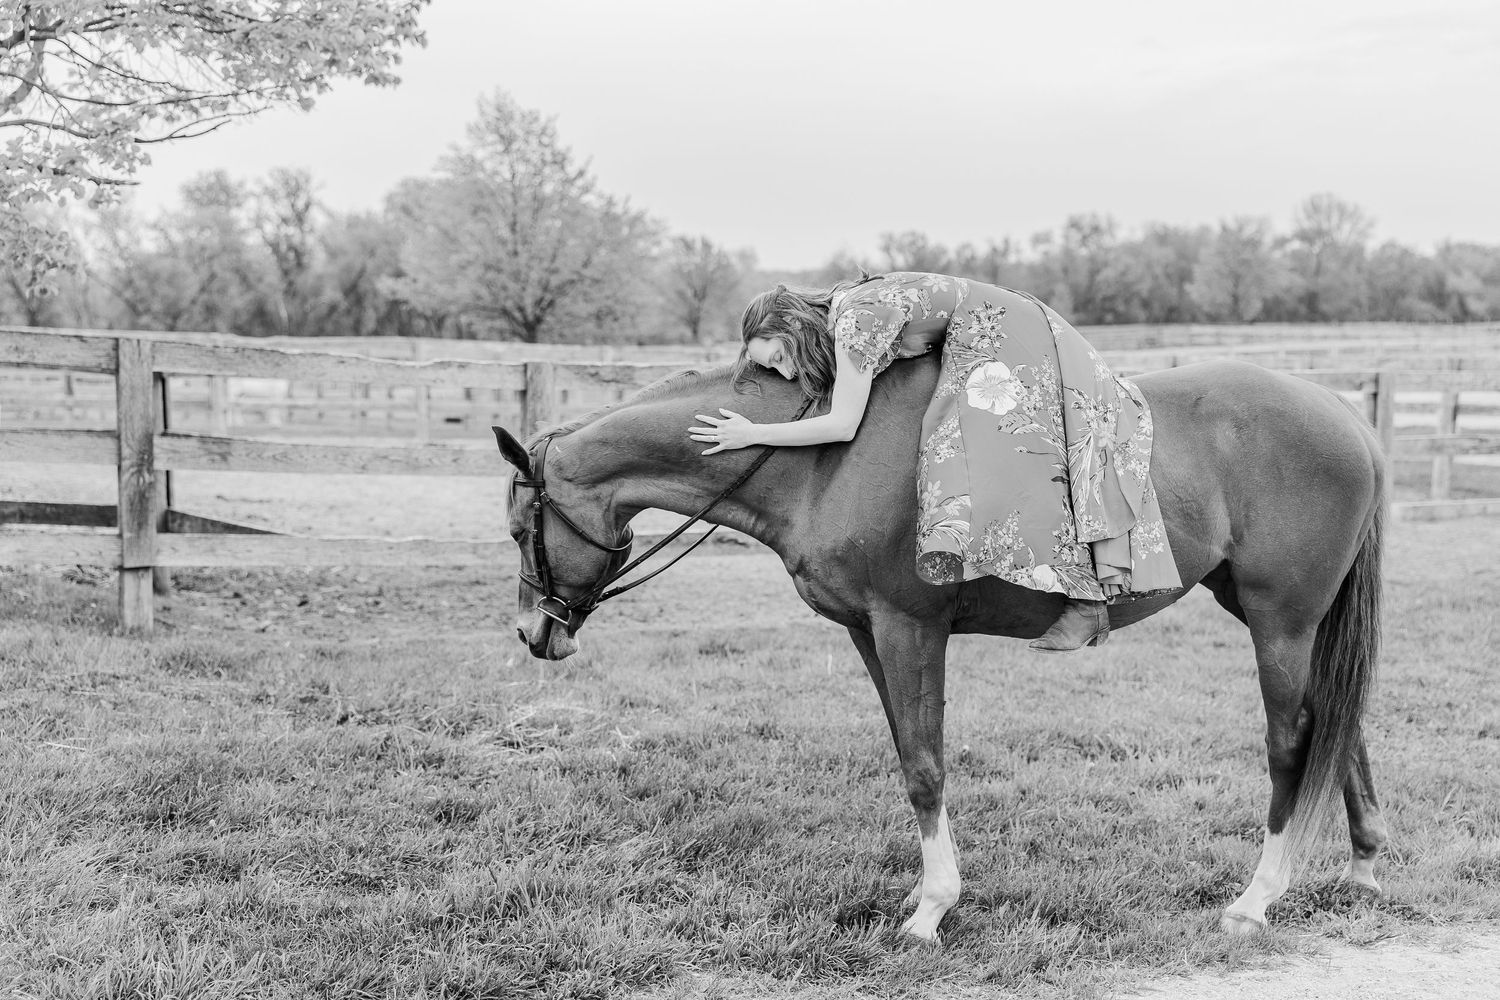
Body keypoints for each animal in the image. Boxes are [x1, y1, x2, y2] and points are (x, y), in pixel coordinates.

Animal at [491, 354, 1387, 943]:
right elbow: (907, 752)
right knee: (1342, 732)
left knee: (1294, 743)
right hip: (1280, 620)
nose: (534, 632)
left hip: (1281, 623)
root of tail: (1345, 415)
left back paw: (1257, 899)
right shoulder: (869, 633)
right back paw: (1364, 868)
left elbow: (925, 765)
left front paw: (931, 909)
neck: (824, 456)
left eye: (518, 527)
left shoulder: (907, 626)